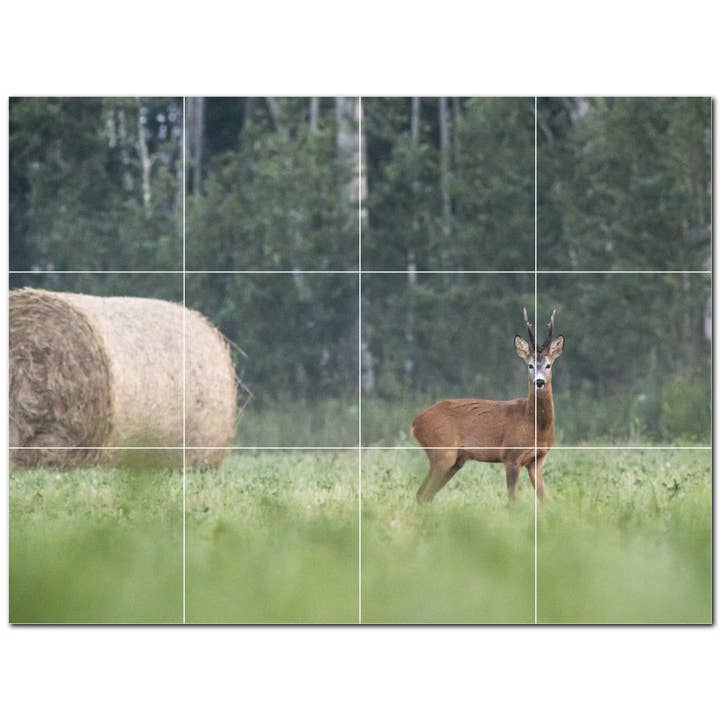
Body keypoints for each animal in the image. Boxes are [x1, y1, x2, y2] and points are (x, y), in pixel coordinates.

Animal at [412, 308, 564, 503]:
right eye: (530, 365)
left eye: (548, 365)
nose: (539, 382)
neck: (535, 425)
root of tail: (415, 423)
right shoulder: (510, 455)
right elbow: (513, 501)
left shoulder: (537, 461)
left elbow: (545, 500)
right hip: (442, 452)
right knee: (423, 494)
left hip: (455, 460)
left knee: (424, 495)